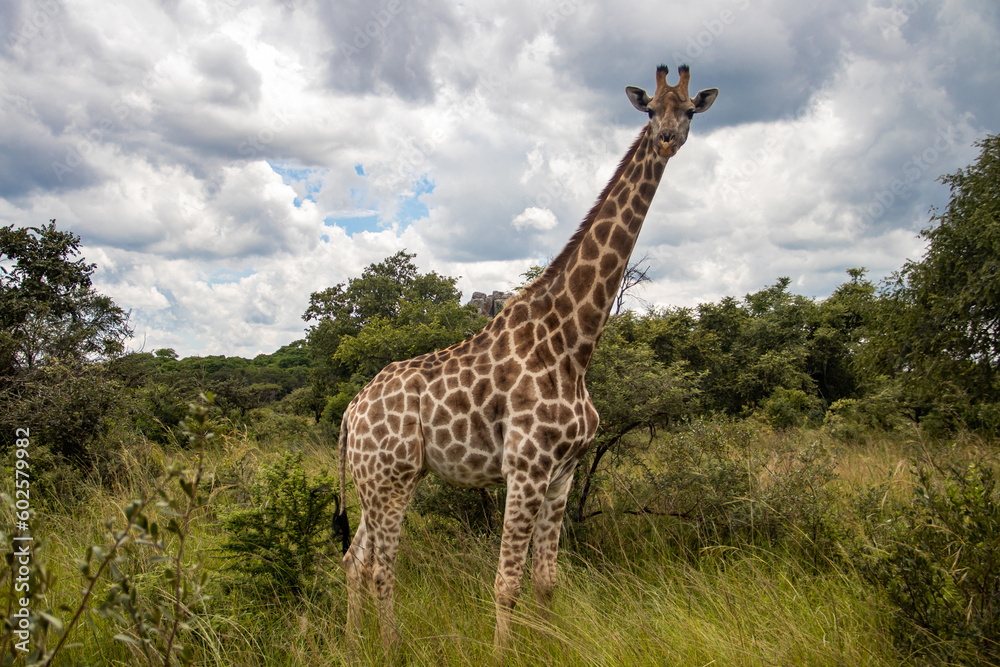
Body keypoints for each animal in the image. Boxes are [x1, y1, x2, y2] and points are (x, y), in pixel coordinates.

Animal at [335, 64, 718, 649]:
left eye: (691, 110)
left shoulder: (562, 473)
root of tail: (350, 412)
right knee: (381, 566)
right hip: (388, 480)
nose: (668, 139)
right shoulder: (526, 467)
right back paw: (391, 646)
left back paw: (356, 642)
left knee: (355, 561)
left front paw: (547, 644)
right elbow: (505, 584)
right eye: (651, 109)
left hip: (380, 480)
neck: (575, 345)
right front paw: (504, 652)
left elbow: (546, 580)